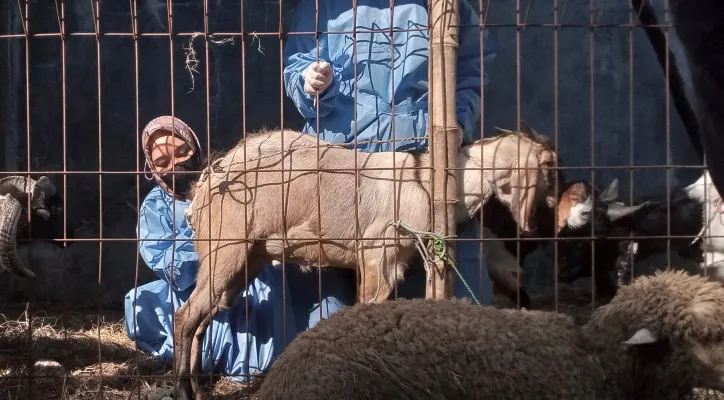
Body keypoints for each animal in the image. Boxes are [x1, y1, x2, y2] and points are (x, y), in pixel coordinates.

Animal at [174, 126, 556, 398]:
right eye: (548, 167)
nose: (537, 227)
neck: (426, 180)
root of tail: (206, 183)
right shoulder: (377, 252)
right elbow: (369, 305)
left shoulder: (395, 259)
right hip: (226, 247)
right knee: (185, 316)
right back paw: (182, 390)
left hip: (245, 258)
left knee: (202, 317)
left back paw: (198, 389)